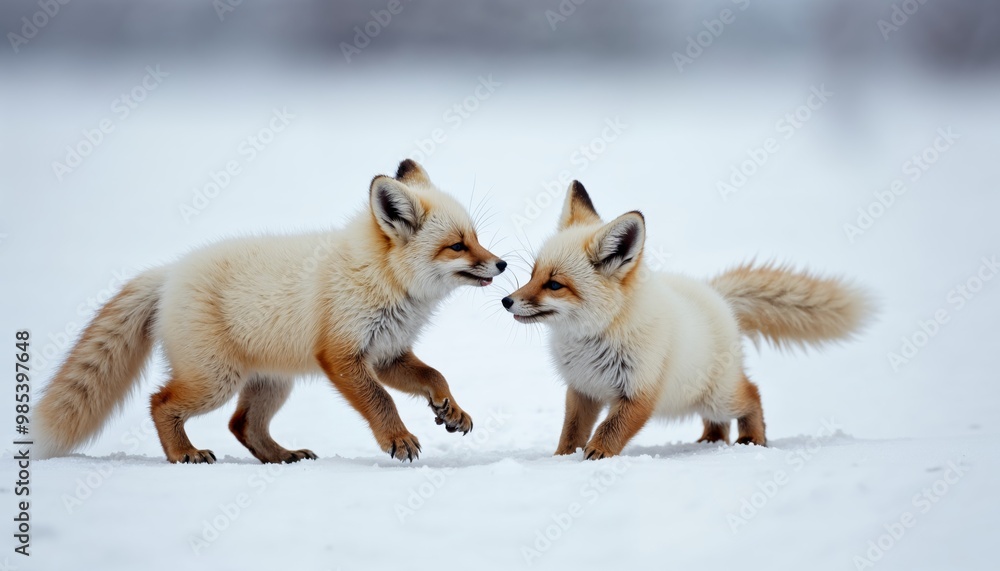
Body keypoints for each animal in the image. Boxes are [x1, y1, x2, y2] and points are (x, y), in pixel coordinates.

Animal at [37, 159, 507, 464]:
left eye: (477, 238)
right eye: (458, 246)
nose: (502, 264)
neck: (383, 279)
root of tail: (169, 272)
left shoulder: (387, 353)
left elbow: (435, 376)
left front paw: (450, 410)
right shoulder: (342, 355)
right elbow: (383, 400)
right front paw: (398, 439)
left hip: (270, 383)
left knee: (242, 425)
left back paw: (282, 456)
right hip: (216, 380)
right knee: (160, 402)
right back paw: (183, 453)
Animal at [502, 181, 871, 459]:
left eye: (554, 285)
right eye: (533, 275)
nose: (507, 302)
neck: (596, 337)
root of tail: (717, 296)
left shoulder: (640, 391)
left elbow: (611, 428)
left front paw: (597, 454)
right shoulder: (583, 389)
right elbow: (571, 432)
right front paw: (563, 458)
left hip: (719, 396)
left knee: (752, 394)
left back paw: (752, 440)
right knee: (719, 424)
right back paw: (711, 441)